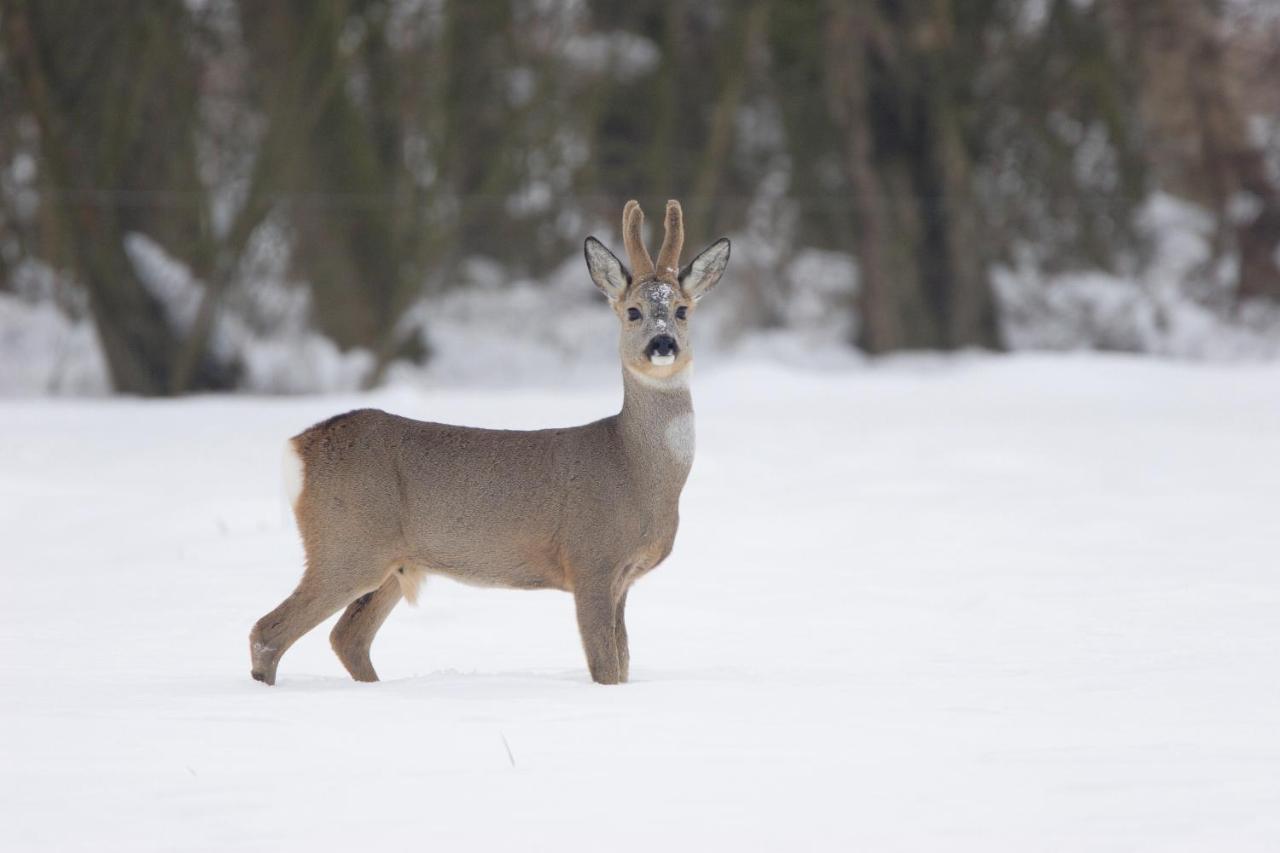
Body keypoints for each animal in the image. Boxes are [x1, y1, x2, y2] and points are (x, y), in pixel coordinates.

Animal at [249, 199, 732, 686]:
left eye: (682, 310)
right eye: (633, 311)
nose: (662, 343)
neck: (635, 469)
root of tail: (299, 447)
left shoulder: (623, 578)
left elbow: (624, 663)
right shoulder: (590, 559)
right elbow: (605, 666)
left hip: (392, 561)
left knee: (347, 637)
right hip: (346, 543)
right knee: (268, 630)